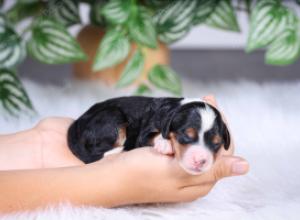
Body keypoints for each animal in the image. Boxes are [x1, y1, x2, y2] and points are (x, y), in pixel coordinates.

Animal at [67, 96, 230, 174]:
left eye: (216, 143)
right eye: (186, 135)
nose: (201, 160)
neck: (175, 108)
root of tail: (76, 125)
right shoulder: (144, 134)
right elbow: (153, 135)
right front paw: (165, 144)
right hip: (112, 116)